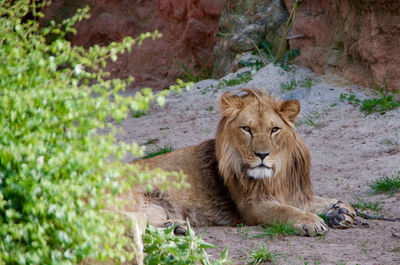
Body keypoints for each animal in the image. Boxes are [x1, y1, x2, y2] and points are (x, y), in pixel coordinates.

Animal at [129, 87, 356, 237]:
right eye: (247, 129)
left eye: (274, 129)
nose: (262, 154)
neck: (275, 175)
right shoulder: (251, 206)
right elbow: (284, 210)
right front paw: (310, 221)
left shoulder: (293, 193)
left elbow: (313, 201)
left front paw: (340, 210)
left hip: (157, 208)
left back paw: (176, 228)